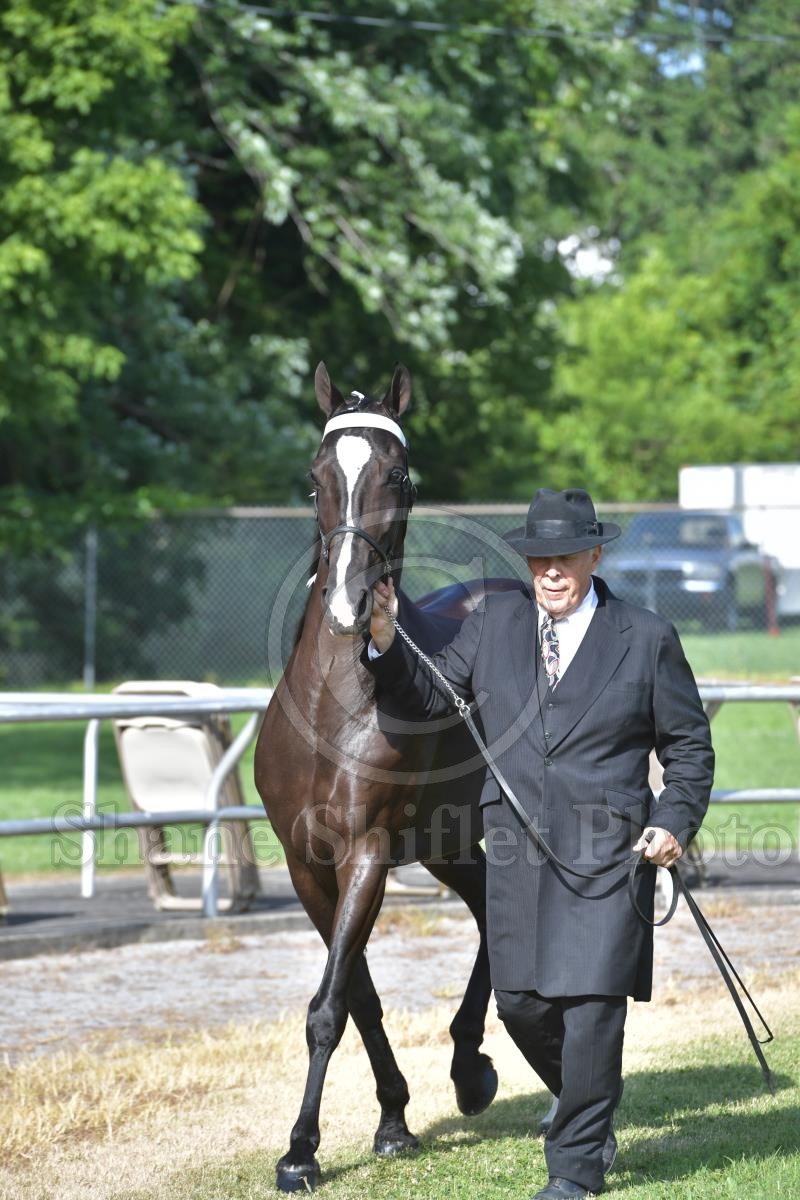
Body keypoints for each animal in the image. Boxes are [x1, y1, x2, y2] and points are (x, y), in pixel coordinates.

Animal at [254, 361, 526, 1193]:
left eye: (398, 475)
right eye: (316, 478)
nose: (347, 603)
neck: (337, 701)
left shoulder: (367, 854)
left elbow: (329, 1005)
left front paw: (300, 1150)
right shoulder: (308, 866)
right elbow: (358, 998)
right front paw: (393, 1123)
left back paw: (475, 1064)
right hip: (448, 846)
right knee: (486, 915)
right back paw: (469, 1065)